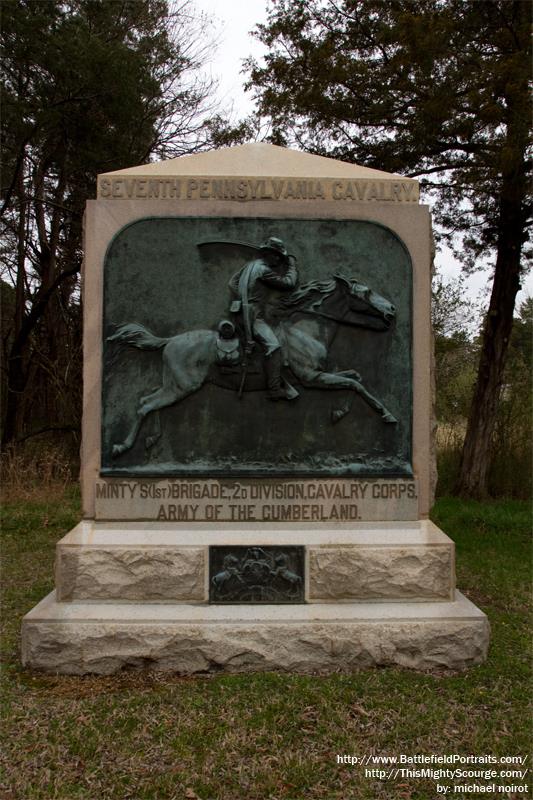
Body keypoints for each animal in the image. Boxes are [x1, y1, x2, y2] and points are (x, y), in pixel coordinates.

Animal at [107, 274, 394, 456]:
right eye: (367, 292)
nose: (391, 308)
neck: (307, 329)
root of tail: (170, 340)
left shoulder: (320, 375)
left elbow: (355, 377)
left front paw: (340, 412)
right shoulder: (312, 377)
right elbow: (355, 384)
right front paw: (385, 414)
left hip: (175, 385)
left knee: (148, 400)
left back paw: (150, 439)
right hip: (183, 387)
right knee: (145, 405)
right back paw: (122, 446)